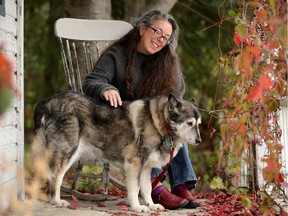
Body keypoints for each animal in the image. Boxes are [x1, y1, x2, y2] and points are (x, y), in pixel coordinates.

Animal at [31, 91, 201, 213]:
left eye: (198, 124)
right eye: (189, 123)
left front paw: (151, 205)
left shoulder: (146, 168)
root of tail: (45, 103)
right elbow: (135, 189)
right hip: (68, 153)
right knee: (56, 177)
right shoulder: (134, 164)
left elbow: (147, 189)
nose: (199, 141)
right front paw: (137, 207)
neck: (160, 122)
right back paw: (56, 201)